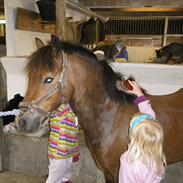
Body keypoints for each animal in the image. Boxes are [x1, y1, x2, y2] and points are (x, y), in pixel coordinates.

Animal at [15, 34, 183, 183]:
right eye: (29, 77)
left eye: (48, 79)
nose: (21, 122)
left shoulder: (117, 171)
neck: (111, 117)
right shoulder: (107, 171)